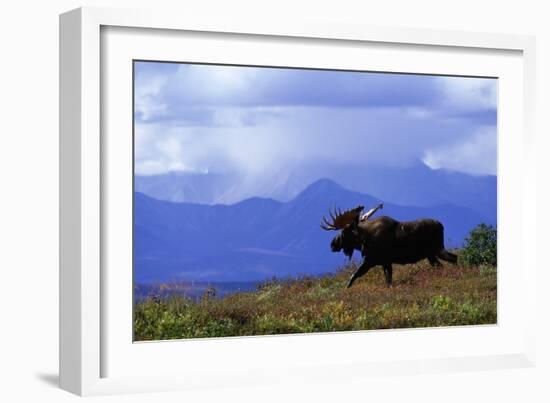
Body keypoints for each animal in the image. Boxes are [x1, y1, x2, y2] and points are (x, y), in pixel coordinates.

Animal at [322, 207, 460, 288]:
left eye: (344, 232)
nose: (332, 245)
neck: (363, 240)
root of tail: (441, 226)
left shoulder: (370, 261)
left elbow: (354, 276)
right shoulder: (385, 262)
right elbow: (388, 280)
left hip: (436, 249)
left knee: (453, 258)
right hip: (432, 254)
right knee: (446, 262)